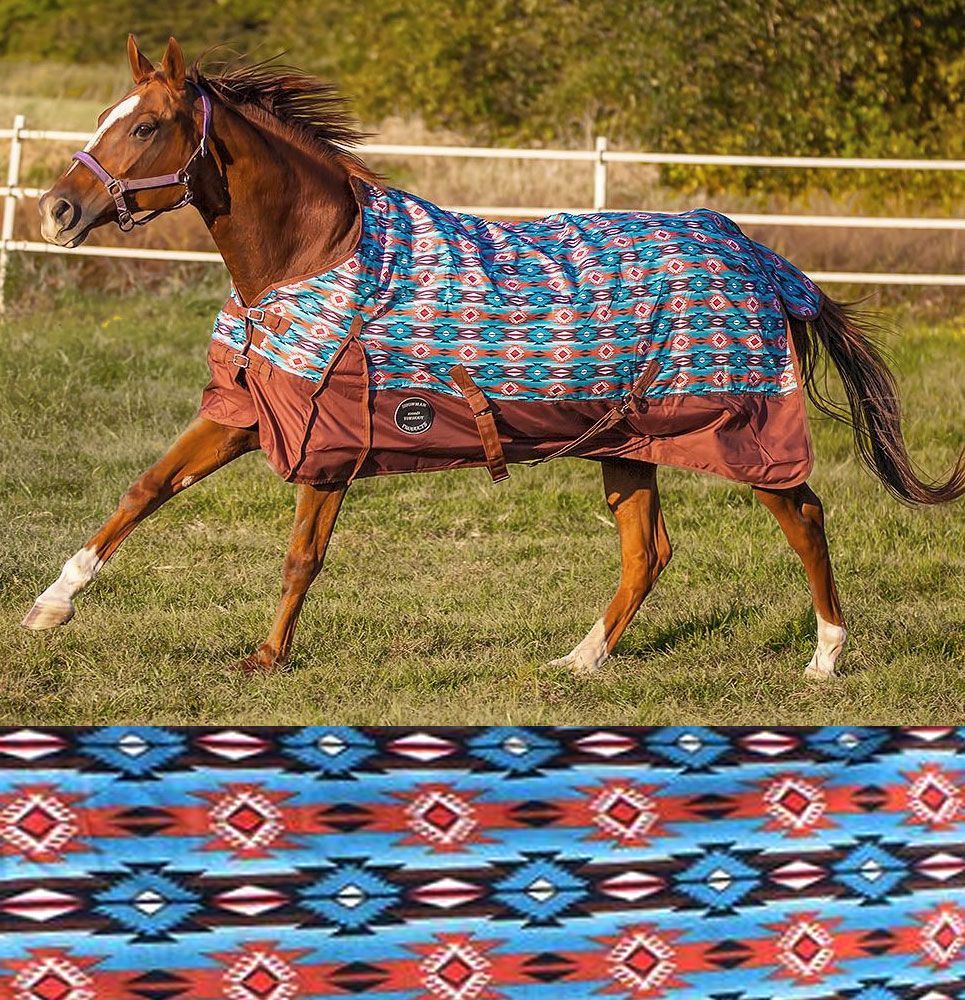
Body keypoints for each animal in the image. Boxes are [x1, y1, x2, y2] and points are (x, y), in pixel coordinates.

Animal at [24, 39, 964, 680]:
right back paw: (580, 660)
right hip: (625, 444)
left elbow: (300, 556)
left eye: (147, 125)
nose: (56, 211)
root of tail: (754, 254)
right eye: (106, 119)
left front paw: (266, 655)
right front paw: (49, 607)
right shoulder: (247, 414)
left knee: (801, 516)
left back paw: (824, 658)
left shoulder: (326, 446)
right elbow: (143, 492)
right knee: (646, 552)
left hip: (744, 439)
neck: (311, 257)